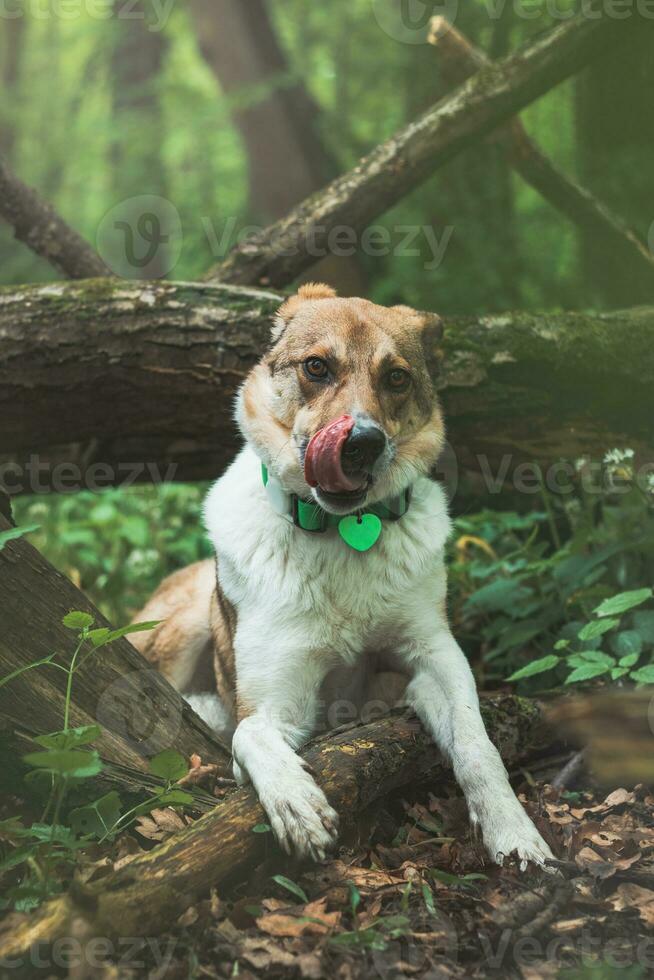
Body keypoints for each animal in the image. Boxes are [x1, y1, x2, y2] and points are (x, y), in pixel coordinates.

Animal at [133, 282, 552, 864]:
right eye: (316, 367)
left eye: (396, 377)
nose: (362, 444)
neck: (339, 530)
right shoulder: (275, 701)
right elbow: (249, 735)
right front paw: (297, 805)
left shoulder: (436, 655)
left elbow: (477, 743)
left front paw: (515, 834)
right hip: (184, 625)